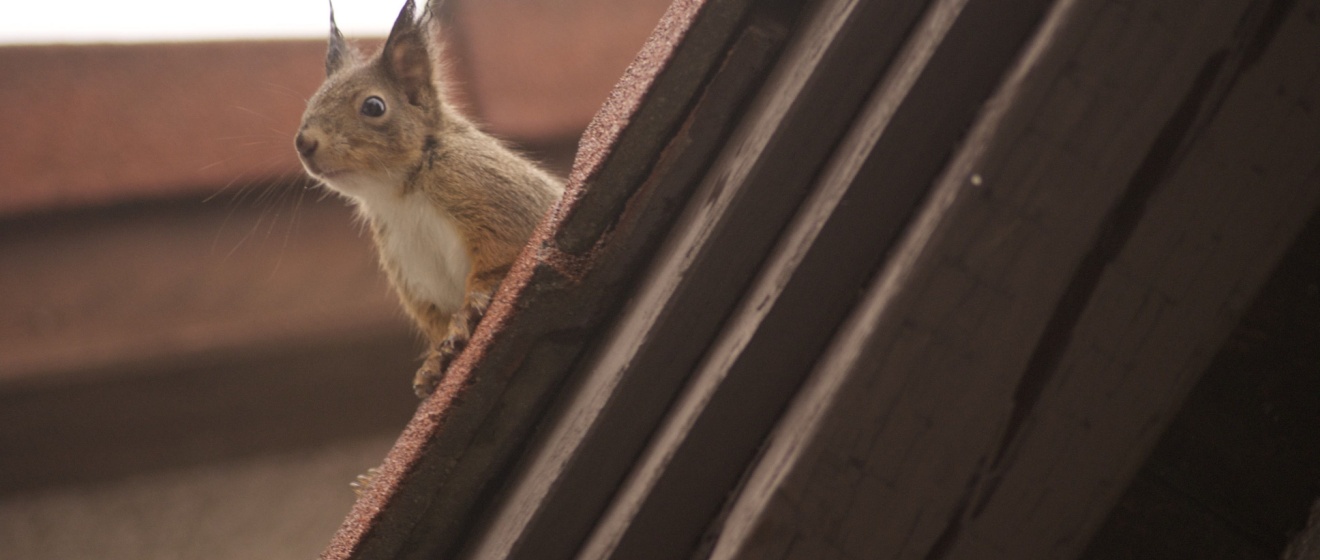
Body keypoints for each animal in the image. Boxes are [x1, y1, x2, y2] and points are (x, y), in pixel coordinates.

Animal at [294, 0, 564, 397]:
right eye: (312, 100)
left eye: (373, 106)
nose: (304, 143)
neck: (399, 195)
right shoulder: (414, 271)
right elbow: (435, 320)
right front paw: (435, 363)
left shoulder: (496, 198)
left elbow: (501, 256)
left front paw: (472, 308)